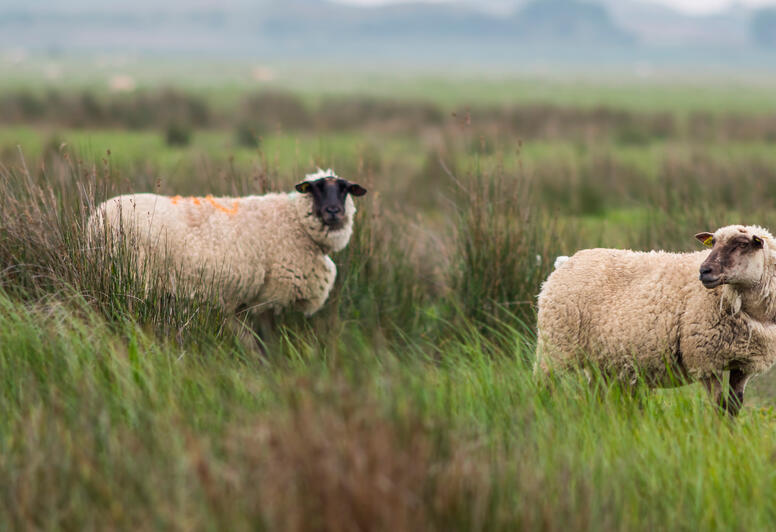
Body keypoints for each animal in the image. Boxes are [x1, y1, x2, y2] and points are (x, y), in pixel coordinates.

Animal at [89, 170, 368, 342]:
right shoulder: (271, 297)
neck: (294, 222)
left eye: (345, 189)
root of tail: (96, 217)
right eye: (315, 189)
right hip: (131, 277)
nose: (334, 211)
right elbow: (267, 340)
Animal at [536, 224, 776, 416]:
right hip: (555, 346)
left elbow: (734, 407)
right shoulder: (705, 359)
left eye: (742, 244)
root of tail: (565, 262)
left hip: (600, 361)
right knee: (545, 387)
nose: (704, 271)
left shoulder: (744, 364)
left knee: (597, 397)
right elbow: (718, 406)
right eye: (713, 243)